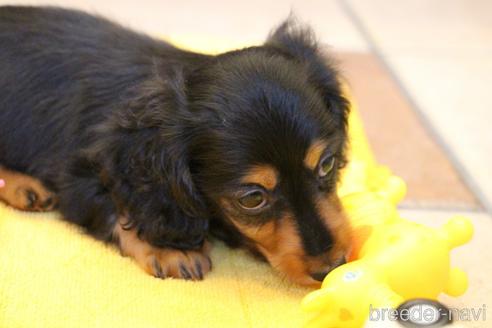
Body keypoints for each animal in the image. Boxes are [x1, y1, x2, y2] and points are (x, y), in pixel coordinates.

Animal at [1, 6, 352, 286]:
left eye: (327, 164)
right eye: (252, 198)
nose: (332, 268)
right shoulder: (76, 176)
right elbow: (115, 209)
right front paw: (170, 248)